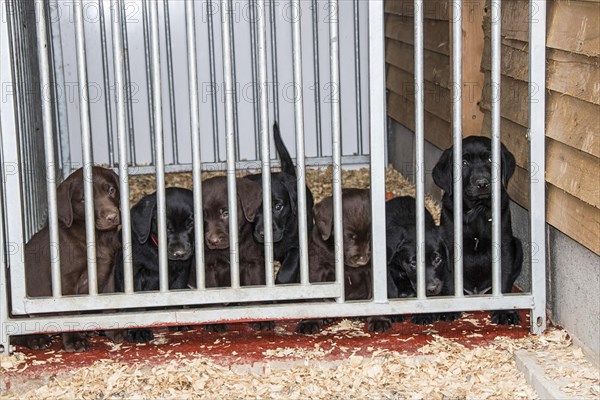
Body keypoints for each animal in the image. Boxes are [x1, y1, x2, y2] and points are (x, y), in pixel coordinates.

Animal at [13, 167, 123, 352]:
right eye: (84, 199)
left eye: (111, 190)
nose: (112, 216)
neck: (96, 237)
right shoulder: (66, 281)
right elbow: (70, 311)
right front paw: (74, 340)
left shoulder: (108, 274)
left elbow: (109, 305)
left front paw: (115, 330)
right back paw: (36, 339)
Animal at [115, 187, 195, 340]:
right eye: (165, 227)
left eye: (191, 224)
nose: (180, 253)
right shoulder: (135, 274)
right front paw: (137, 330)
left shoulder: (182, 272)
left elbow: (176, 293)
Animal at [434, 135, 524, 324]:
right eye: (464, 162)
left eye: (490, 159)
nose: (482, 183)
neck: (478, 210)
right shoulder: (450, 246)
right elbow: (450, 278)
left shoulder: (504, 246)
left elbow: (503, 278)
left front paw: (505, 311)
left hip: (518, 245)